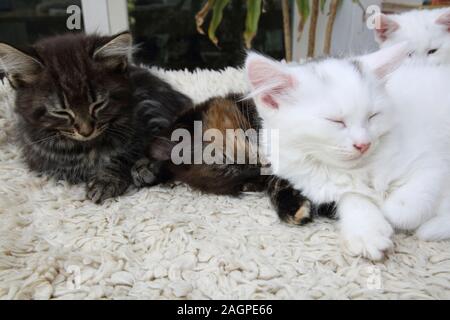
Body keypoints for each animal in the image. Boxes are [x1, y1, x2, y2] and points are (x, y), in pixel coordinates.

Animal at [0, 31, 192, 202]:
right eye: (61, 112)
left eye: (98, 104)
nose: (86, 131)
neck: (88, 146)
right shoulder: (46, 160)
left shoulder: (145, 119)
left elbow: (127, 155)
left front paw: (107, 181)